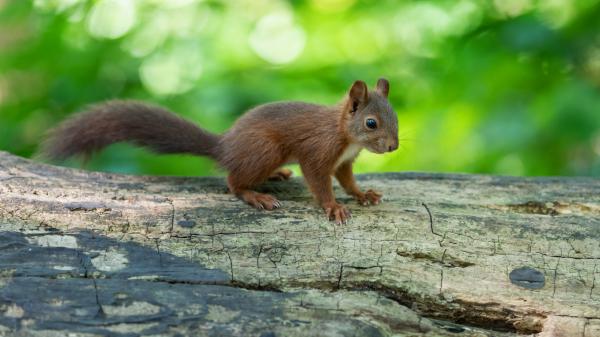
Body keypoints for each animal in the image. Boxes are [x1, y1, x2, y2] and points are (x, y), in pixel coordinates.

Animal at [42, 79, 398, 223]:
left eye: (394, 116)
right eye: (371, 123)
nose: (393, 146)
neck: (345, 135)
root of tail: (224, 146)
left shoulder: (344, 161)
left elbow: (347, 180)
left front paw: (362, 194)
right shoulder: (317, 152)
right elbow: (320, 182)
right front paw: (334, 207)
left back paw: (278, 175)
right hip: (264, 149)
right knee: (232, 182)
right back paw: (255, 195)